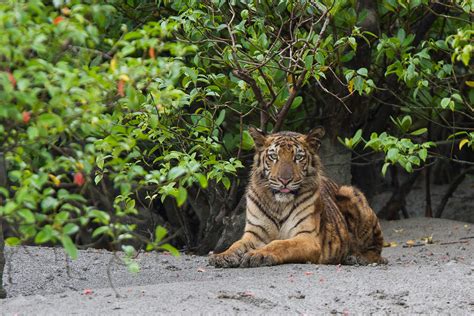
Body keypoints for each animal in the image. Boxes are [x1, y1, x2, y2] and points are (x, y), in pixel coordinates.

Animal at [209, 127, 386, 268]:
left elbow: (280, 244)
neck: (278, 204)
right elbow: (236, 244)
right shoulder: (254, 234)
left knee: (376, 249)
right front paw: (223, 256)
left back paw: (357, 258)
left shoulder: (307, 237)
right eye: (274, 157)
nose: (284, 180)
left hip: (350, 193)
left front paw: (258, 254)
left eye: (298, 157)